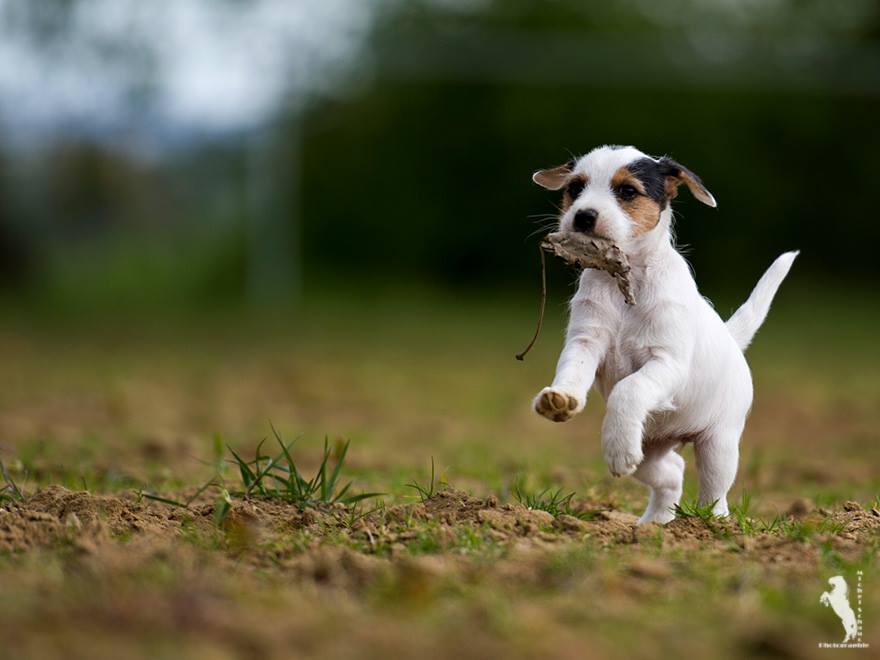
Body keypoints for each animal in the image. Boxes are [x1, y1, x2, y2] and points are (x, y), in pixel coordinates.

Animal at [528, 146, 796, 524]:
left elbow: (629, 389)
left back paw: (711, 522)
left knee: (714, 488)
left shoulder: (667, 362)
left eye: (627, 191)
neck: (627, 278)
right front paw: (561, 398)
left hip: (718, 444)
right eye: (575, 188)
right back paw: (655, 522)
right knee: (672, 471)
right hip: (648, 452)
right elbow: (572, 371)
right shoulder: (586, 342)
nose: (582, 216)